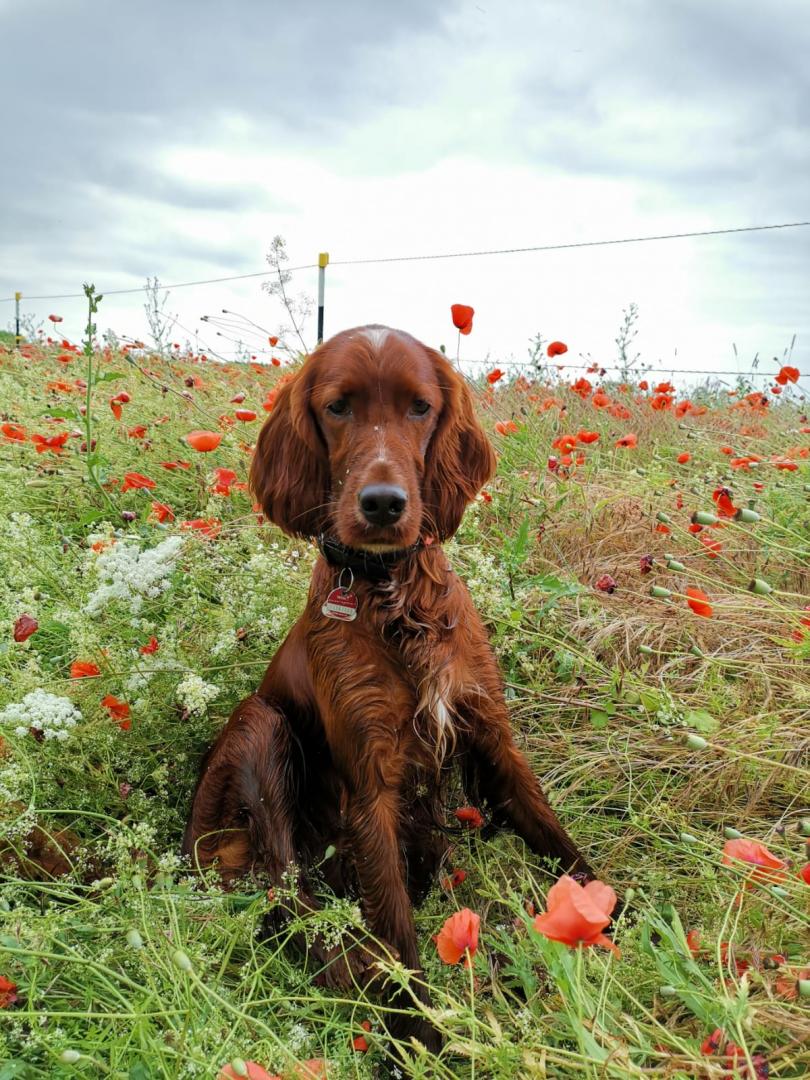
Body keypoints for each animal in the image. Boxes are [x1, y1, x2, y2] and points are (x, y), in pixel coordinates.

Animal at [182, 324, 591, 1049]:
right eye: (338, 406)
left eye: (420, 407)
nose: (381, 504)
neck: (393, 598)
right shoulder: (370, 782)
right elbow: (396, 929)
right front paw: (421, 1039)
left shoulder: (488, 728)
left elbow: (548, 827)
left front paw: (606, 912)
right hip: (261, 724)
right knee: (292, 895)